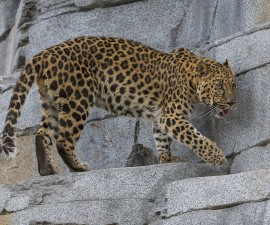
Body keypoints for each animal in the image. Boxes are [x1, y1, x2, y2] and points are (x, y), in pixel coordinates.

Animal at [0, 36, 236, 176]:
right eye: (220, 87)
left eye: (234, 85)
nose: (232, 102)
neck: (191, 79)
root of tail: (45, 53)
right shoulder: (171, 116)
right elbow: (194, 137)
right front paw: (217, 157)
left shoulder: (160, 116)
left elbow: (161, 138)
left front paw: (167, 159)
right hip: (77, 98)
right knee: (63, 139)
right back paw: (78, 167)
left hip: (52, 101)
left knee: (42, 134)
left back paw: (47, 169)